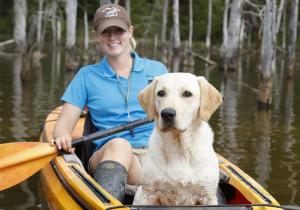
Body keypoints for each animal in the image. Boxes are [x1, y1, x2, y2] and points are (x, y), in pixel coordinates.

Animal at [134, 72, 223, 205]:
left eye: (187, 93)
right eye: (161, 93)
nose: (167, 113)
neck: (178, 148)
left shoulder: (208, 196)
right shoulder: (148, 193)